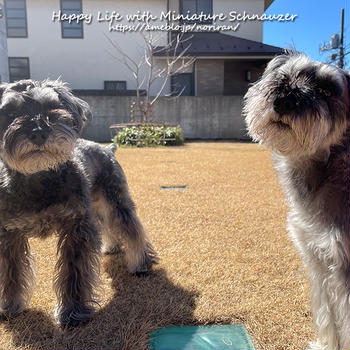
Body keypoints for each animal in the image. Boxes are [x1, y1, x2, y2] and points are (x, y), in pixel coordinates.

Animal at [0, 80, 158, 328]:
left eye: (52, 107)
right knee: (106, 226)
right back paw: (111, 247)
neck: (39, 175)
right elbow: (11, 273)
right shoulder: (9, 233)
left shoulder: (76, 228)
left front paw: (72, 312)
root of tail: (106, 148)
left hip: (115, 201)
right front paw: (10, 306)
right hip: (95, 207)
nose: (38, 133)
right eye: (11, 112)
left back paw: (140, 263)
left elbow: (73, 274)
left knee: (130, 228)